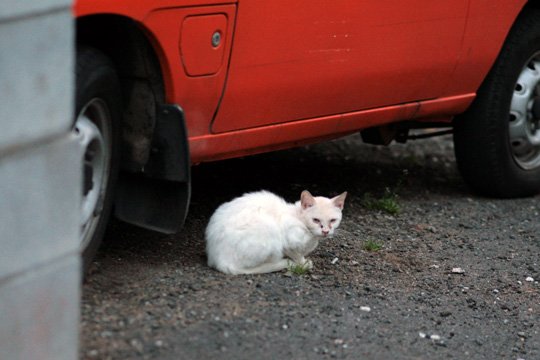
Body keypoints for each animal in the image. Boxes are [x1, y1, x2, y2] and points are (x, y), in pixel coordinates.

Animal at [205, 190, 348, 274]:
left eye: (333, 220)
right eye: (316, 220)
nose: (325, 231)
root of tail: (219, 260)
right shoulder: (287, 240)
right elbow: (296, 254)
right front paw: (302, 263)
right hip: (270, 232)